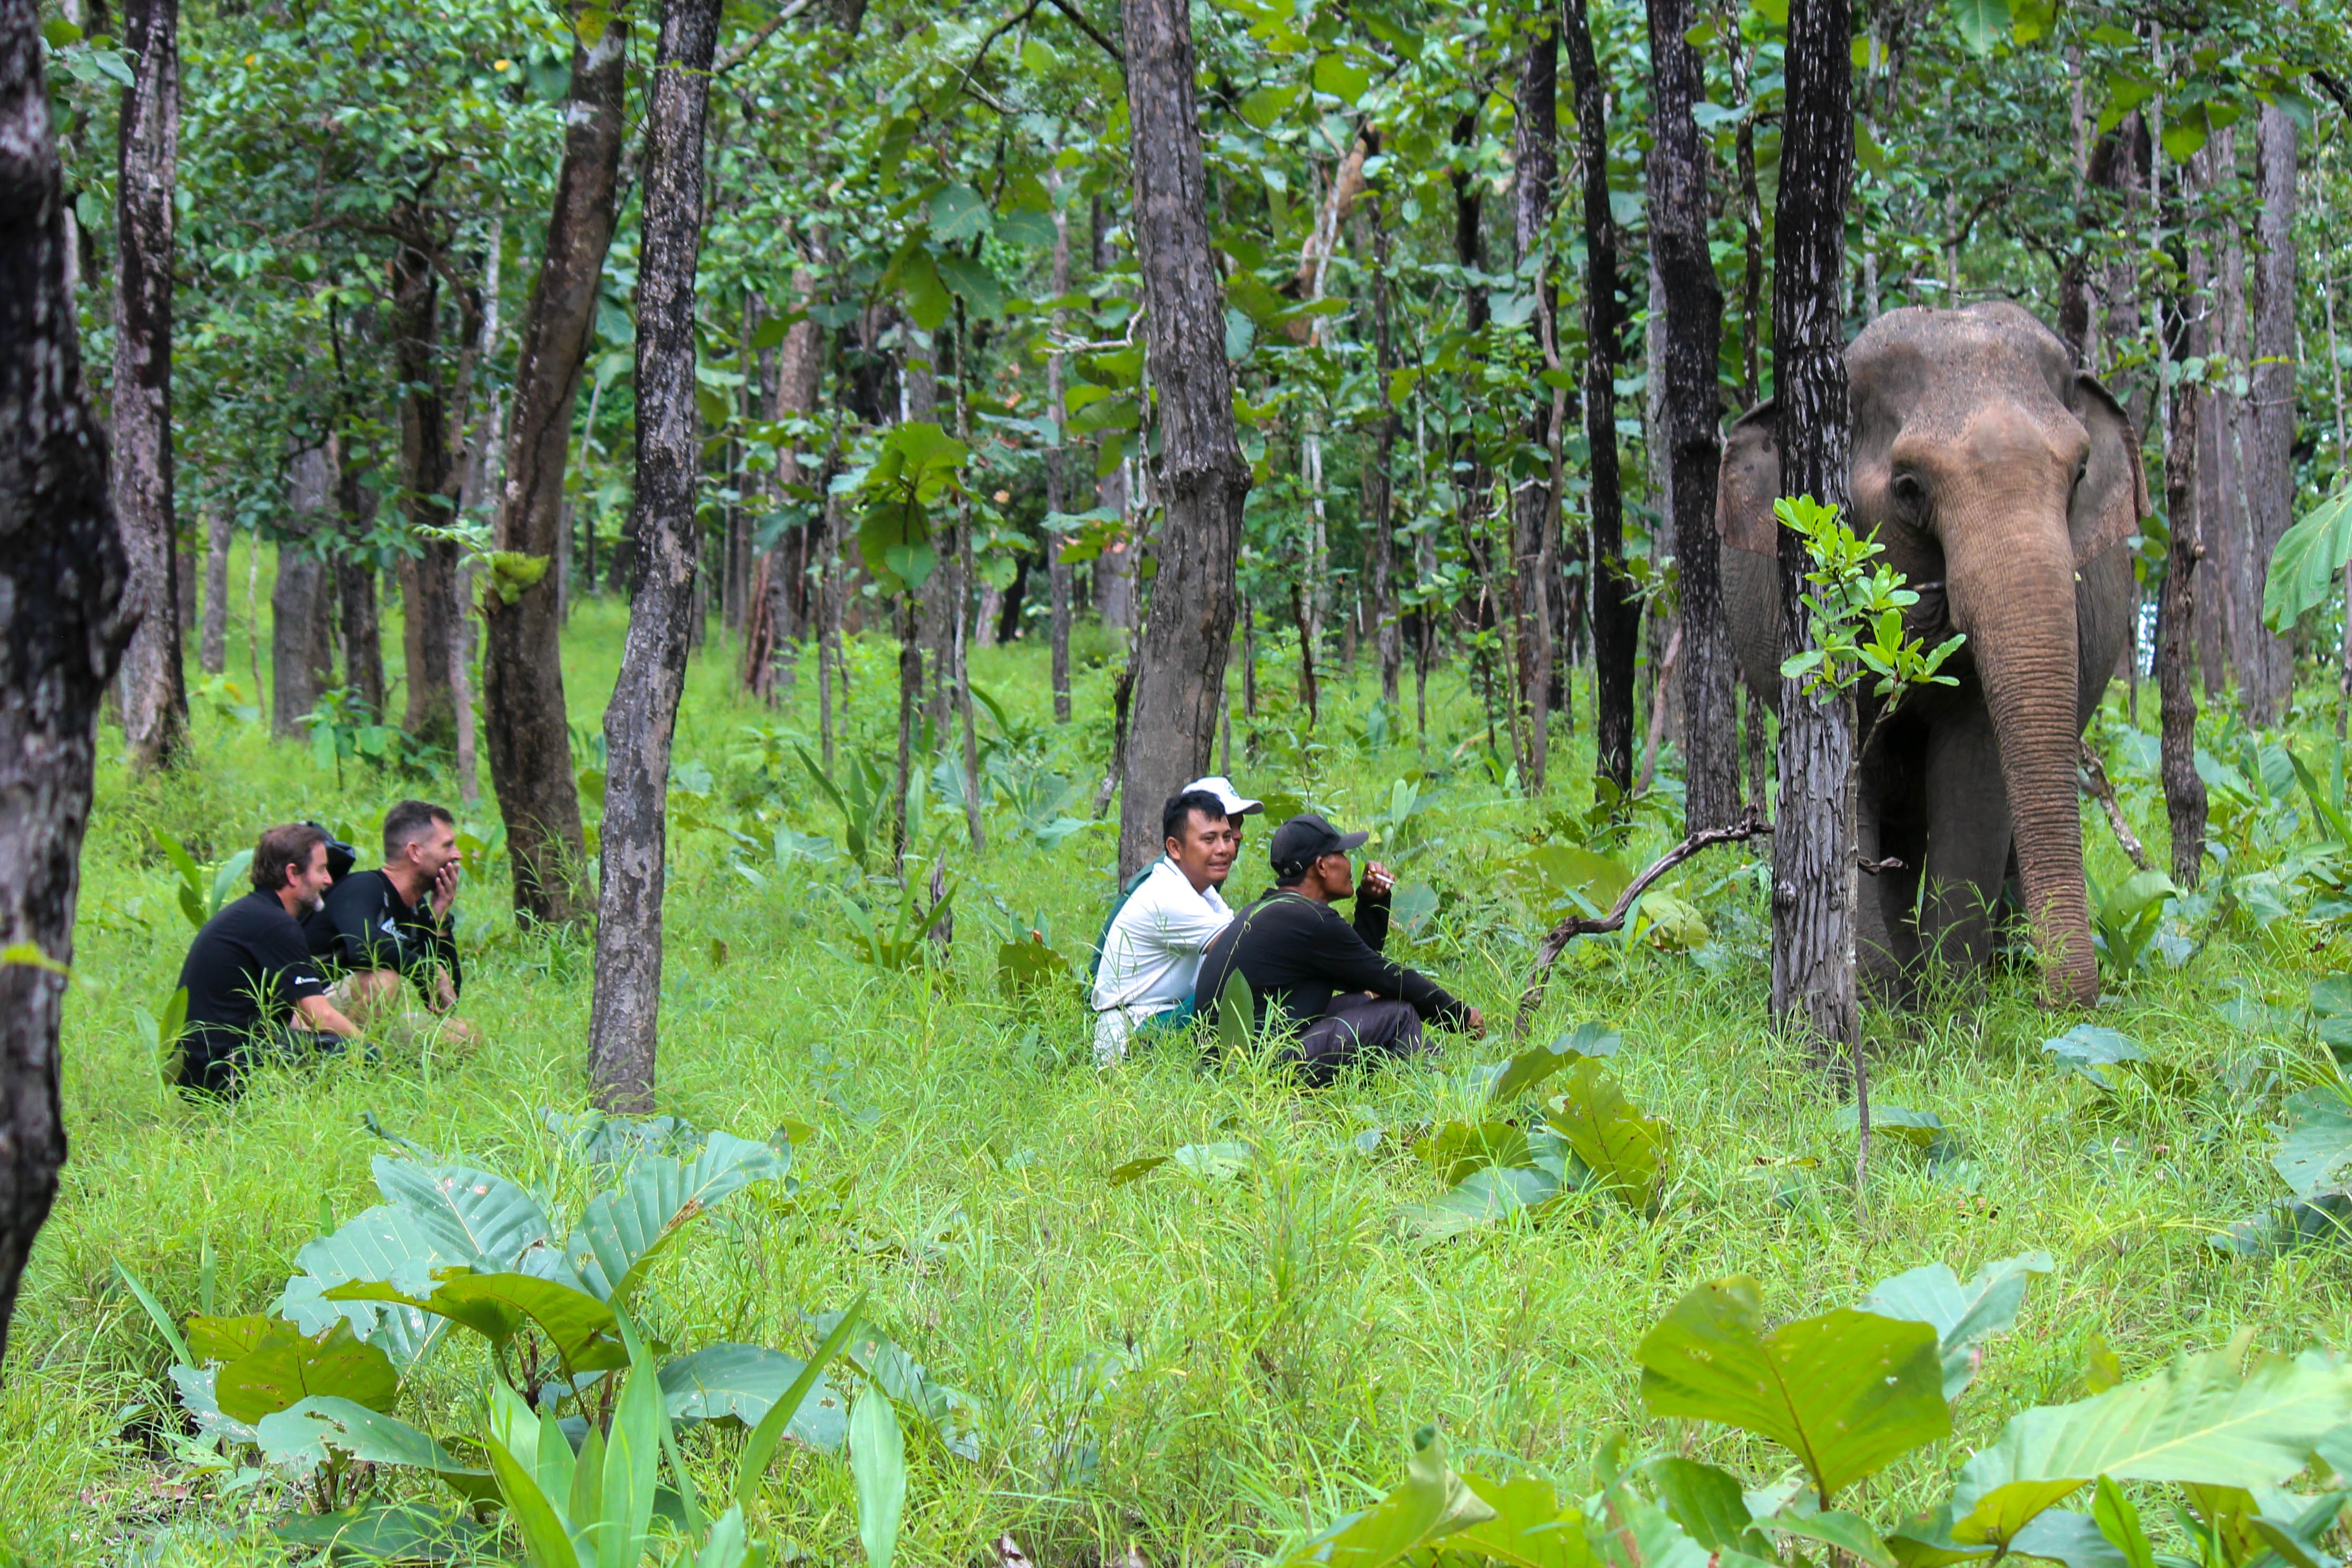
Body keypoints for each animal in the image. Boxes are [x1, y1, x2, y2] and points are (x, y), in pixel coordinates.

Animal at [1716, 302, 2146, 1008]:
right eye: (1910, 488)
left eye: (2081, 474)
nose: (2064, 1005)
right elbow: (1854, 780)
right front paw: (1885, 1001)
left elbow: (1975, 776)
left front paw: (1952, 1003)